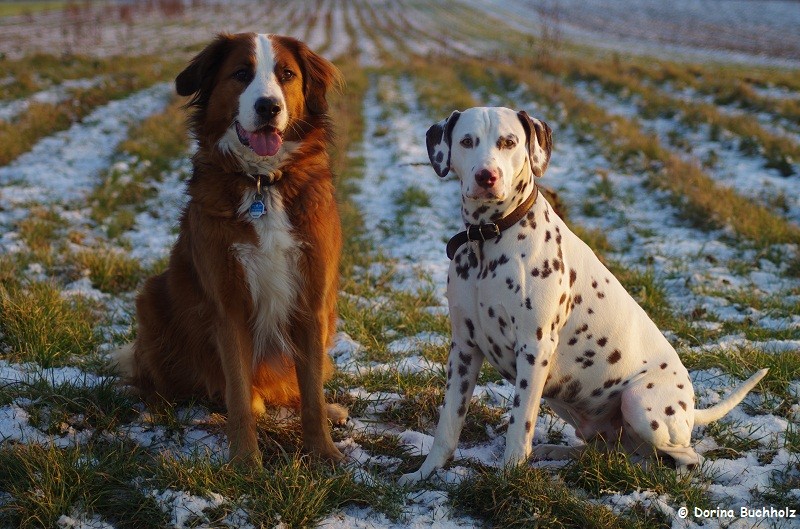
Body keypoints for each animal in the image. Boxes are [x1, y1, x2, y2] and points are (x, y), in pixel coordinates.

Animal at [113, 33, 346, 462]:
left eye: (287, 75)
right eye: (241, 74)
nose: (269, 107)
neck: (263, 183)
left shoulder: (311, 301)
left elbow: (311, 394)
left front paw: (323, 452)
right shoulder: (229, 305)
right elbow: (237, 394)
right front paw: (245, 462)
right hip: (152, 296)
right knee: (163, 383)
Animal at [400, 106, 768, 482]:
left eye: (508, 142)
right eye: (467, 141)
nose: (487, 176)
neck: (488, 240)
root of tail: (691, 410)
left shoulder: (534, 348)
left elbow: (519, 426)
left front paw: (507, 478)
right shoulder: (464, 347)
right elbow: (448, 424)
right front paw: (425, 474)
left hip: (639, 402)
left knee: (684, 456)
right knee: (606, 451)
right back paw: (558, 452)